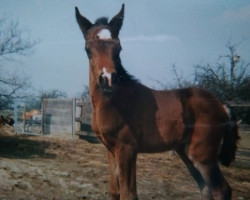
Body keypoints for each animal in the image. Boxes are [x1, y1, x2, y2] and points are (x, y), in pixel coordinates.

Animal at [75, 4, 239, 200]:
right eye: (87, 49)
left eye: (119, 48)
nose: (107, 80)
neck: (115, 101)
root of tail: (221, 106)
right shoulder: (111, 149)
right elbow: (116, 191)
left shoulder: (126, 149)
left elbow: (127, 193)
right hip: (186, 153)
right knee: (206, 190)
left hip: (203, 156)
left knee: (221, 190)